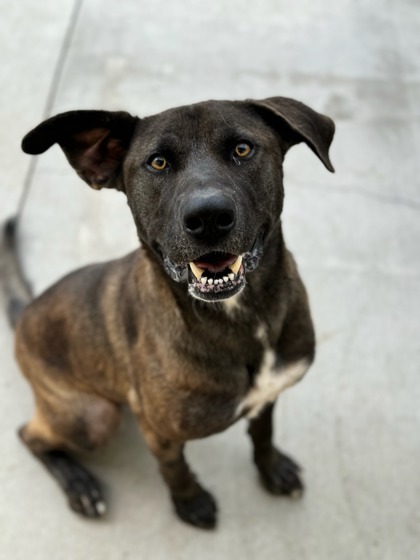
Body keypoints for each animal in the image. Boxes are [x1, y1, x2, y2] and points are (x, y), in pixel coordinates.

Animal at [10, 97, 334, 528]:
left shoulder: (268, 396)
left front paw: (271, 469)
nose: (208, 217)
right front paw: (190, 503)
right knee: (29, 434)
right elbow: (173, 468)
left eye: (243, 149)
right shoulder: (158, 429)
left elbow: (263, 434)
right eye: (158, 162)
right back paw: (80, 485)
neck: (242, 317)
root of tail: (25, 311)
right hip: (93, 417)